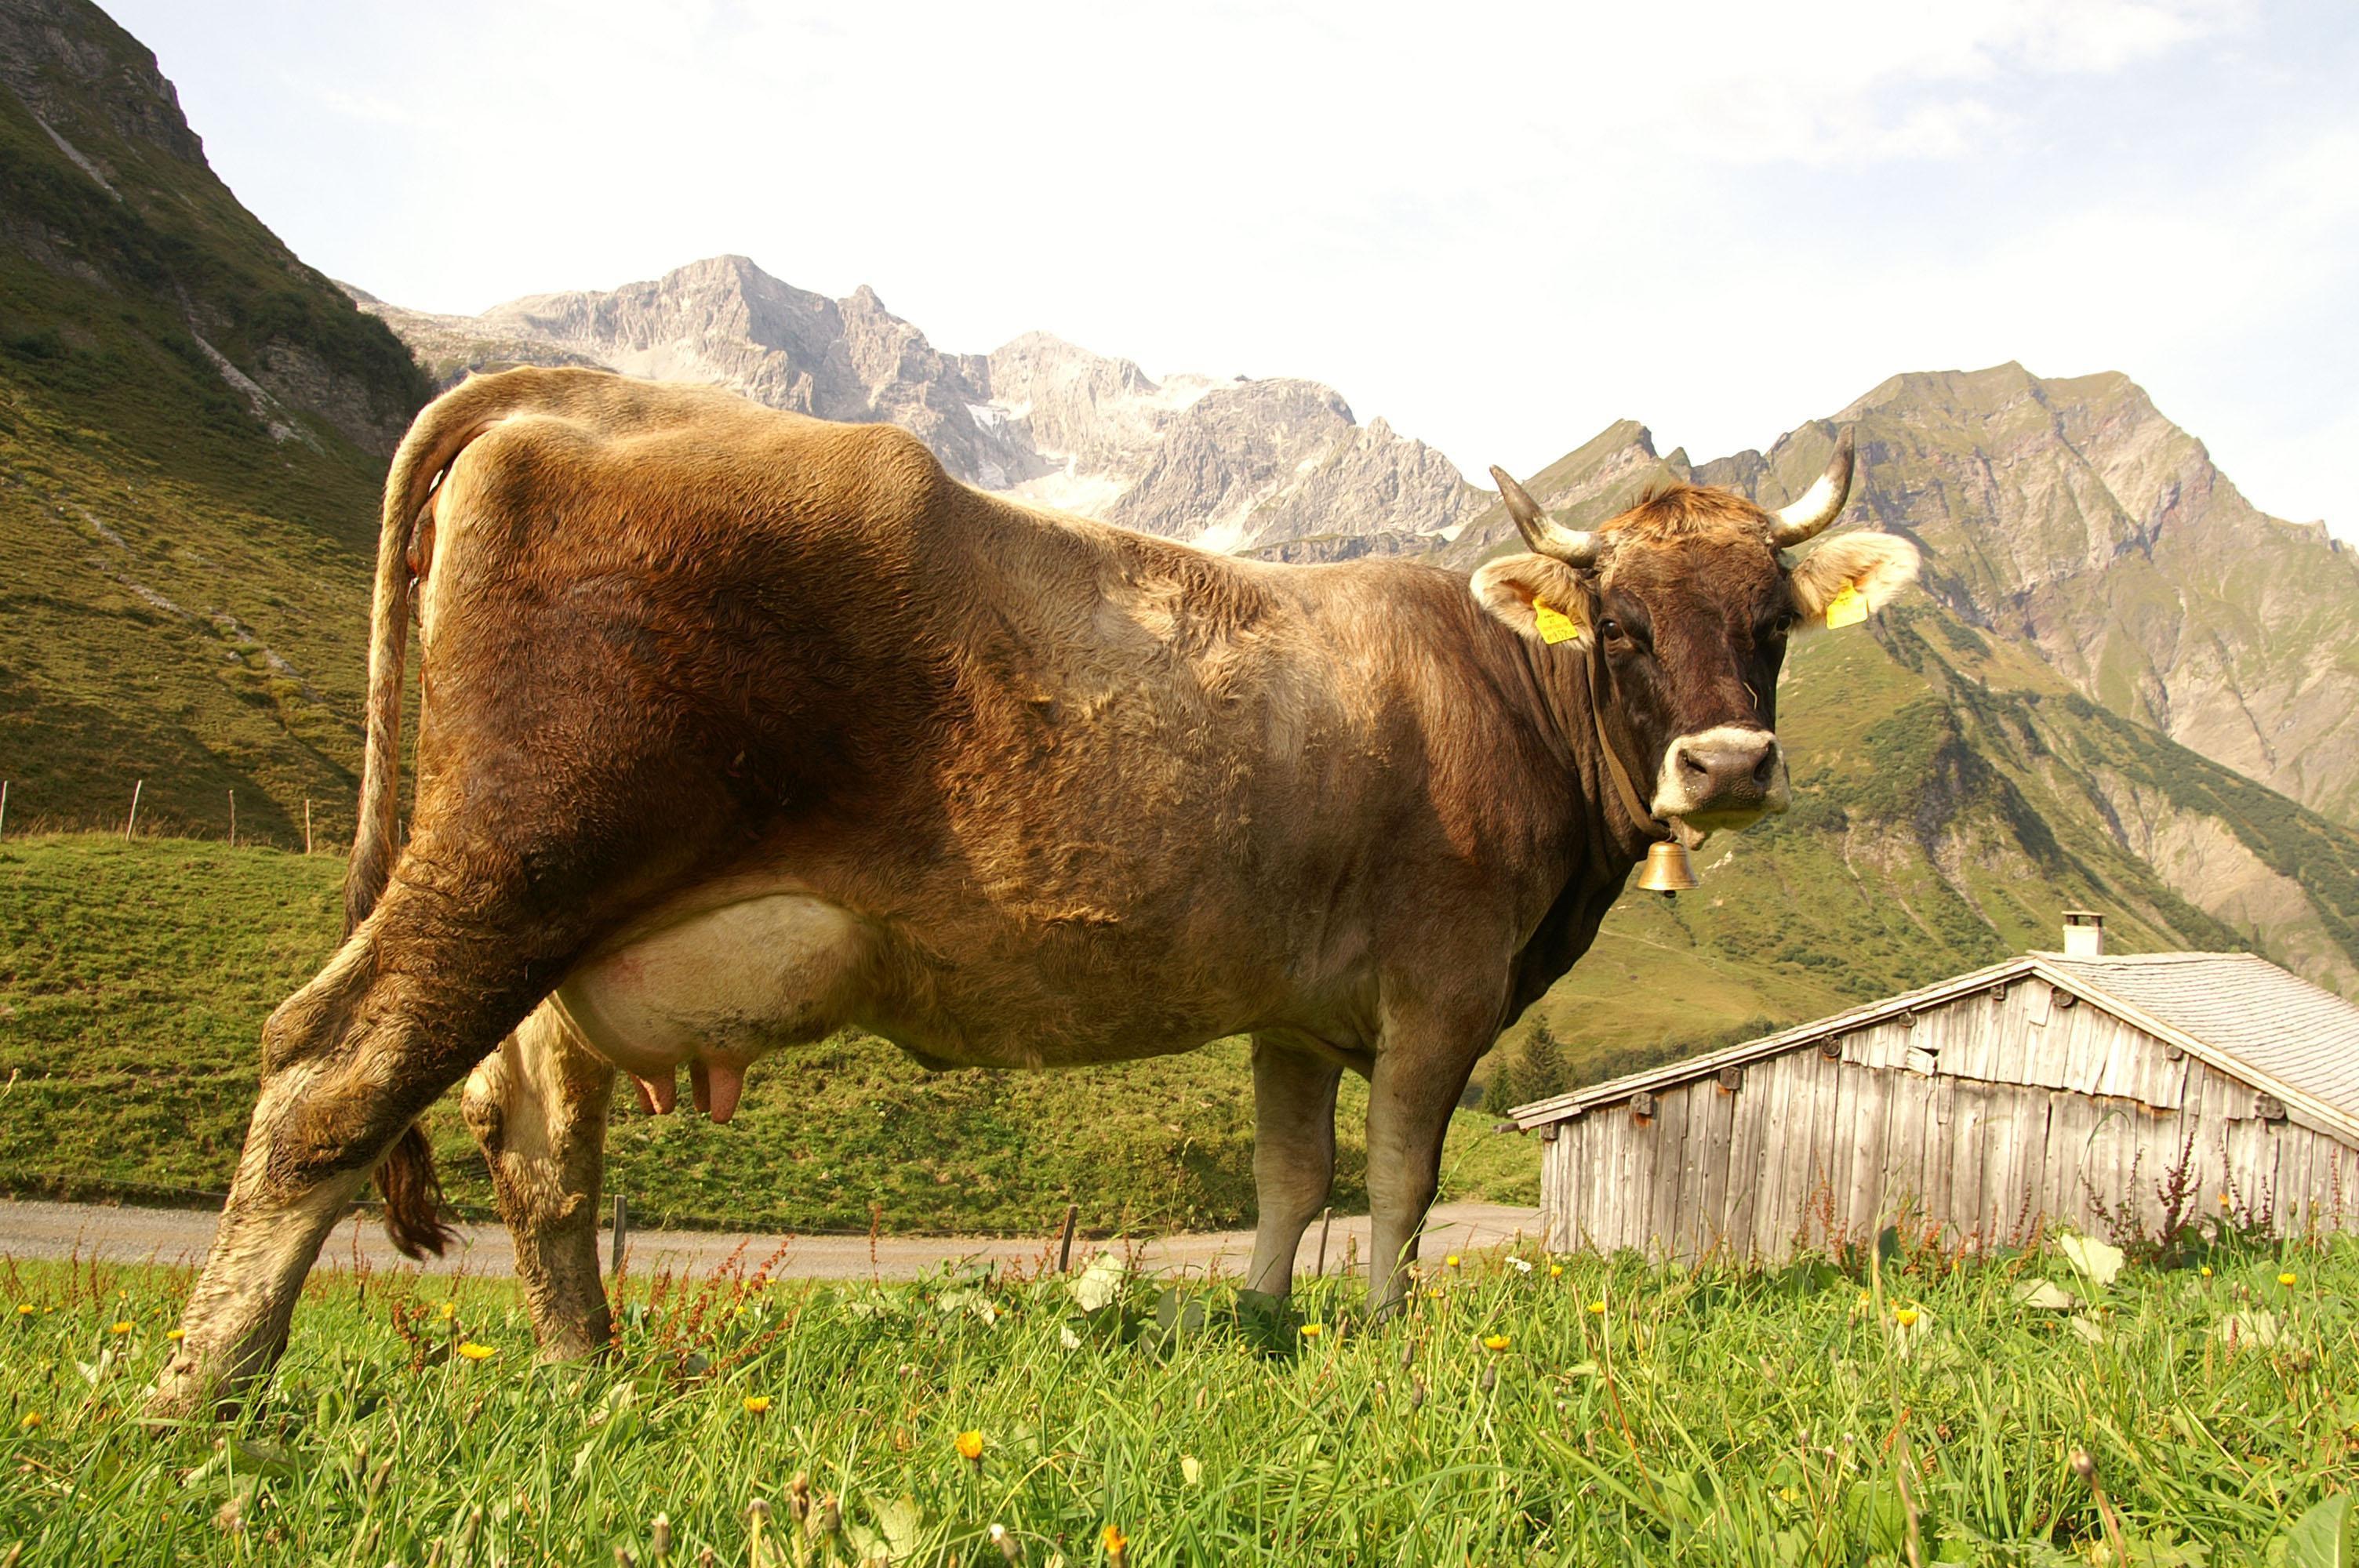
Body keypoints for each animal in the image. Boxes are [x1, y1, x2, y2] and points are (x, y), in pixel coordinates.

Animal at [152, 363, 1915, 1405]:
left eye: (1770, 621)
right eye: (1619, 625)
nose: (1727, 765)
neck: (1500, 698)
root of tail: (593, 393)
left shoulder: (1291, 1009)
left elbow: (1289, 1179)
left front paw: (1264, 1329)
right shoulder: (1439, 985)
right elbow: (1400, 1184)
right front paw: (1381, 1345)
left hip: (562, 937)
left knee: (535, 1146)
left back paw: (588, 1374)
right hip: (513, 864)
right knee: (328, 1072)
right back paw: (211, 1393)